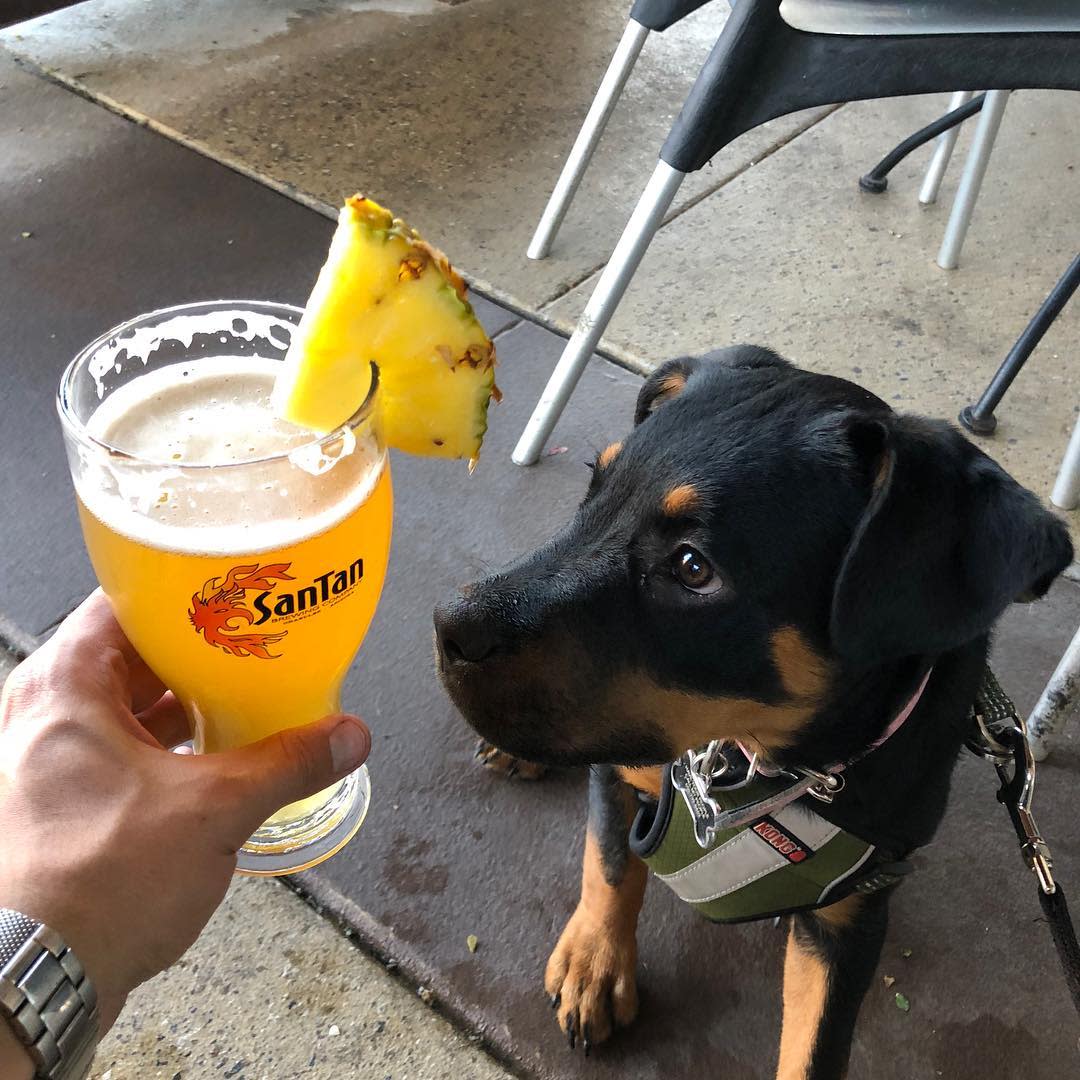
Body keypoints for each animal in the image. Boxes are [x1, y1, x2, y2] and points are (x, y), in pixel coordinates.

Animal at [429, 347, 1071, 1080]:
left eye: (692, 567)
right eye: (593, 490)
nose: (447, 629)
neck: (755, 757)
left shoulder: (852, 914)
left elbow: (815, 1049)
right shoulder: (625, 765)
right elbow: (611, 863)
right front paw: (594, 964)